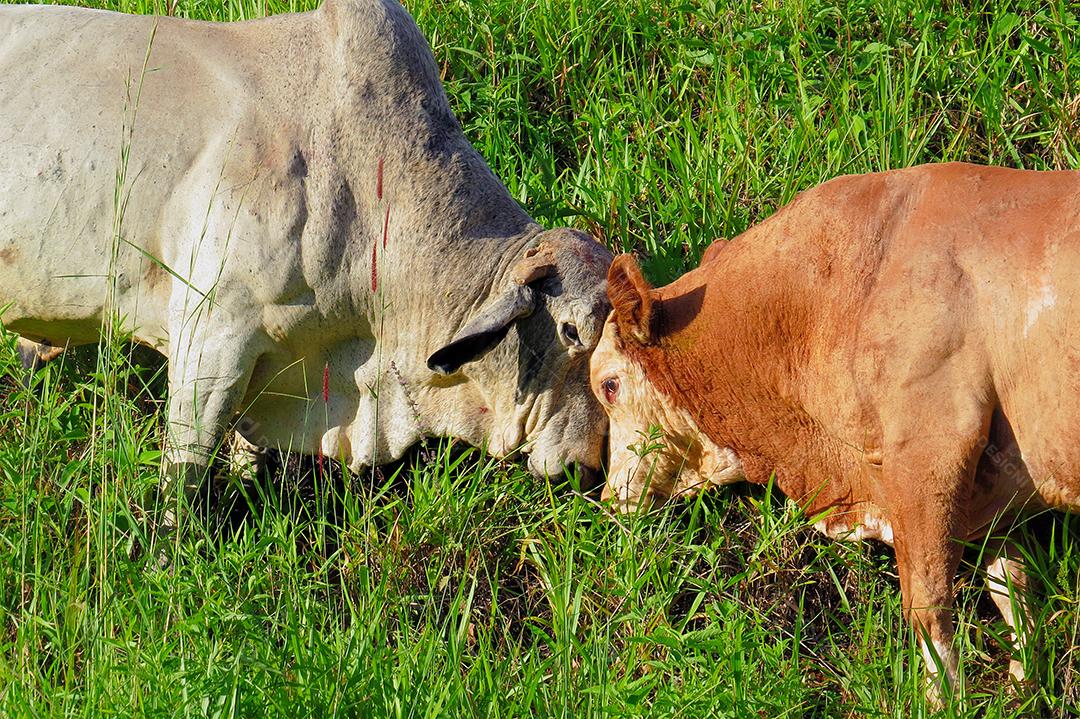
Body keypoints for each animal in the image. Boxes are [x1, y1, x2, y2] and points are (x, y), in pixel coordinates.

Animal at [591, 160, 1080, 695]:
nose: (609, 500)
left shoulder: (933, 444)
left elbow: (929, 606)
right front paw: (1020, 689)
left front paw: (942, 699)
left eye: (609, 385)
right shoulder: (991, 493)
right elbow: (1017, 596)